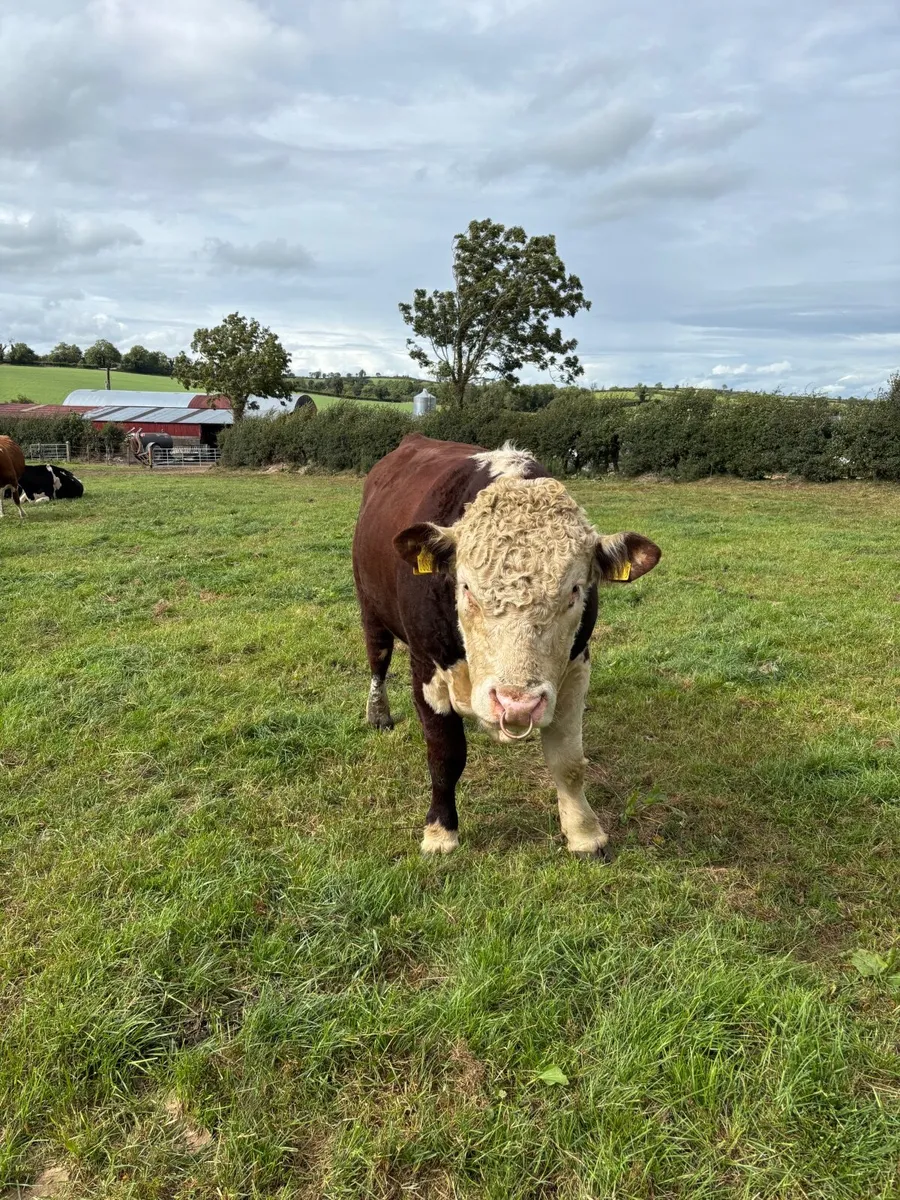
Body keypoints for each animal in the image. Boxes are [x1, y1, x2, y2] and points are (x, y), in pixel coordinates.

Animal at [352, 434, 661, 857]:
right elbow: (445, 755)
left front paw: (584, 833)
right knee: (377, 662)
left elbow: (568, 761)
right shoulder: (426, 666)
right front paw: (440, 832)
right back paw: (378, 714)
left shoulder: (576, 667)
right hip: (371, 610)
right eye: (466, 588)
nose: (517, 704)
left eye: (575, 591)